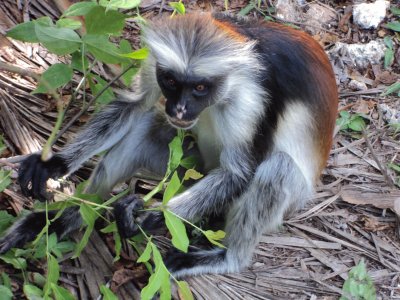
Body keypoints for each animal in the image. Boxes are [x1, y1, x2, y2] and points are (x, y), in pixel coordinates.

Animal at [0, 13, 338, 276]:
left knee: (278, 168)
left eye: (200, 88)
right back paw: (70, 216)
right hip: (187, 169)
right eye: (172, 82)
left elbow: (238, 172)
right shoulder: (158, 64)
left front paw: (154, 217)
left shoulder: (250, 96)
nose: (179, 110)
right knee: (143, 124)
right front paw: (53, 164)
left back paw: (228, 259)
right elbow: (134, 105)